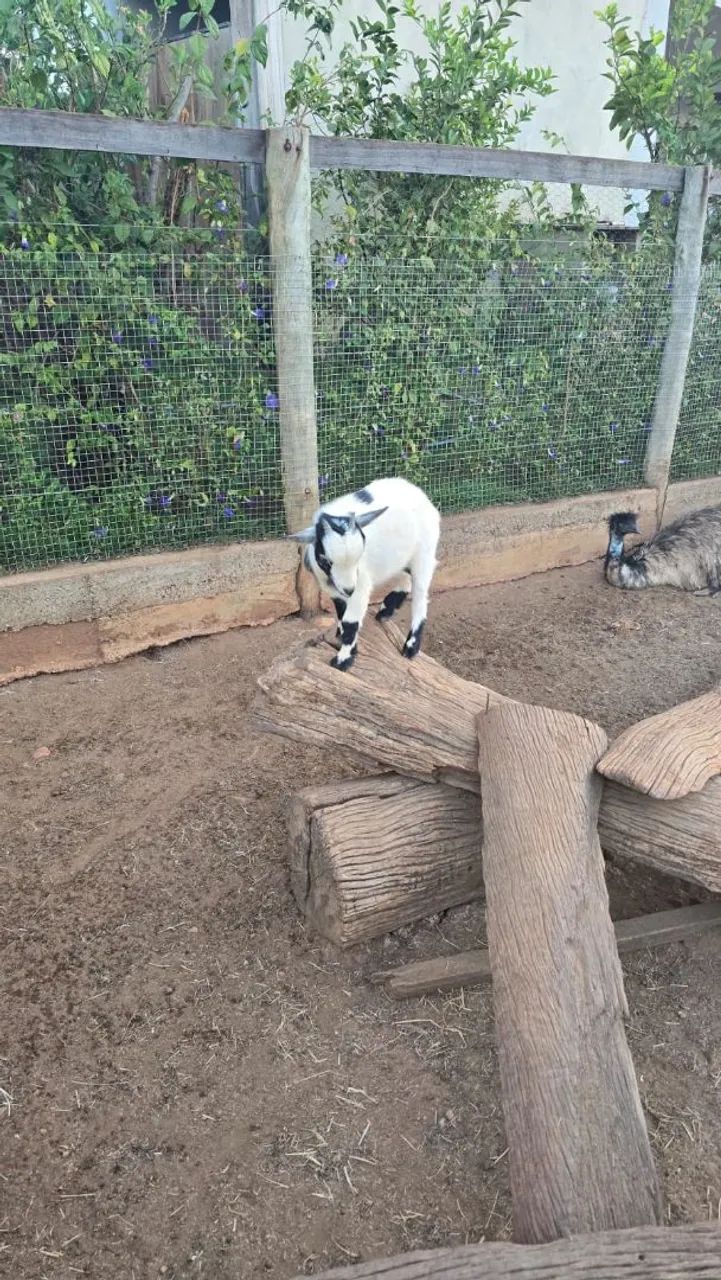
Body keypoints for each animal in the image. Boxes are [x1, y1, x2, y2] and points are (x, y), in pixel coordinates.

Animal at [288, 477, 440, 671]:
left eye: (359, 556)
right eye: (326, 560)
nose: (349, 589)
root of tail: (418, 492)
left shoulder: (360, 585)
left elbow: (350, 622)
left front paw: (343, 660)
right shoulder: (334, 589)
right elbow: (341, 615)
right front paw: (344, 642)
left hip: (425, 551)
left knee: (420, 595)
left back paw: (411, 646)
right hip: (402, 554)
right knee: (405, 575)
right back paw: (386, 609)